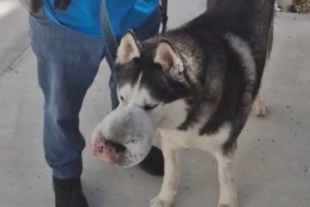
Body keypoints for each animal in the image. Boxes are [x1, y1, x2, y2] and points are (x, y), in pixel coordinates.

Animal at [91, 0, 274, 207]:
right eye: (122, 98)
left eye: (150, 106)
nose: (110, 148)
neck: (186, 114)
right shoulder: (170, 142)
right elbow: (171, 175)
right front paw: (165, 199)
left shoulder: (225, 150)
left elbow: (226, 182)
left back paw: (259, 100)